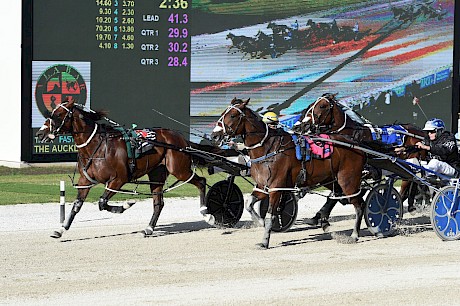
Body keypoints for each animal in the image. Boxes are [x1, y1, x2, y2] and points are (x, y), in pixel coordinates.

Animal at [36, 97, 223, 238]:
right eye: (51, 113)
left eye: (58, 115)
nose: (40, 133)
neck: (98, 146)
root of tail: (181, 139)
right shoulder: (85, 181)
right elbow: (77, 205)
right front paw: (61, 229)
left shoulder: (118, 179)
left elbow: (102, 202)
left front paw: (126, 204)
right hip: (157, 174)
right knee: (158, 203)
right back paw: (149, 228)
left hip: (179, 169)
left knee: (201, 181)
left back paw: (208, 215)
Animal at [211, 98, 366, 249]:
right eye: (223, 113)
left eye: (232, 115)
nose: (214, 134)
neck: (269, 149)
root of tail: (356, 144)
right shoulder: (262, 186)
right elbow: (249, 204)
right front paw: (261, 222)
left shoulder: (276, 187)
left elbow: (271, 215)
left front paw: (264, 242)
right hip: (330, 179)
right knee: (339, 196)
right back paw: (324, 221)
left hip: (348, 180)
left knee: (359, 205)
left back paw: (354, 235)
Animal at [298, 92, 428, 224]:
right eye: (311, 105)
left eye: (322, 106)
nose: (304, 125)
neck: (352, 135)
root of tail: (420, 132)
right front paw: (318, 215)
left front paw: (321, 214)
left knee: (409, 181)